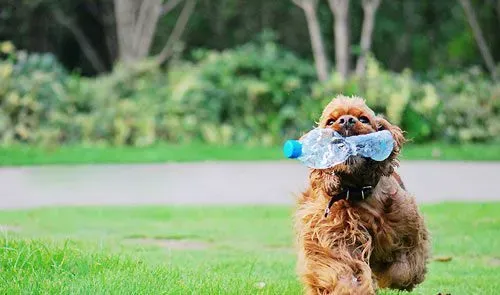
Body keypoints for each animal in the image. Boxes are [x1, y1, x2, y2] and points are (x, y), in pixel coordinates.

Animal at [292, 96, 430, 294]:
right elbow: (345, 269)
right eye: (331, 122)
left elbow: (404, 269)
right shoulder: (334, 236)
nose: (346, 120)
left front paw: (397, 279)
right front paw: (352, 287)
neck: (357, 191)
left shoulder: (408, 230)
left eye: (363, 119)